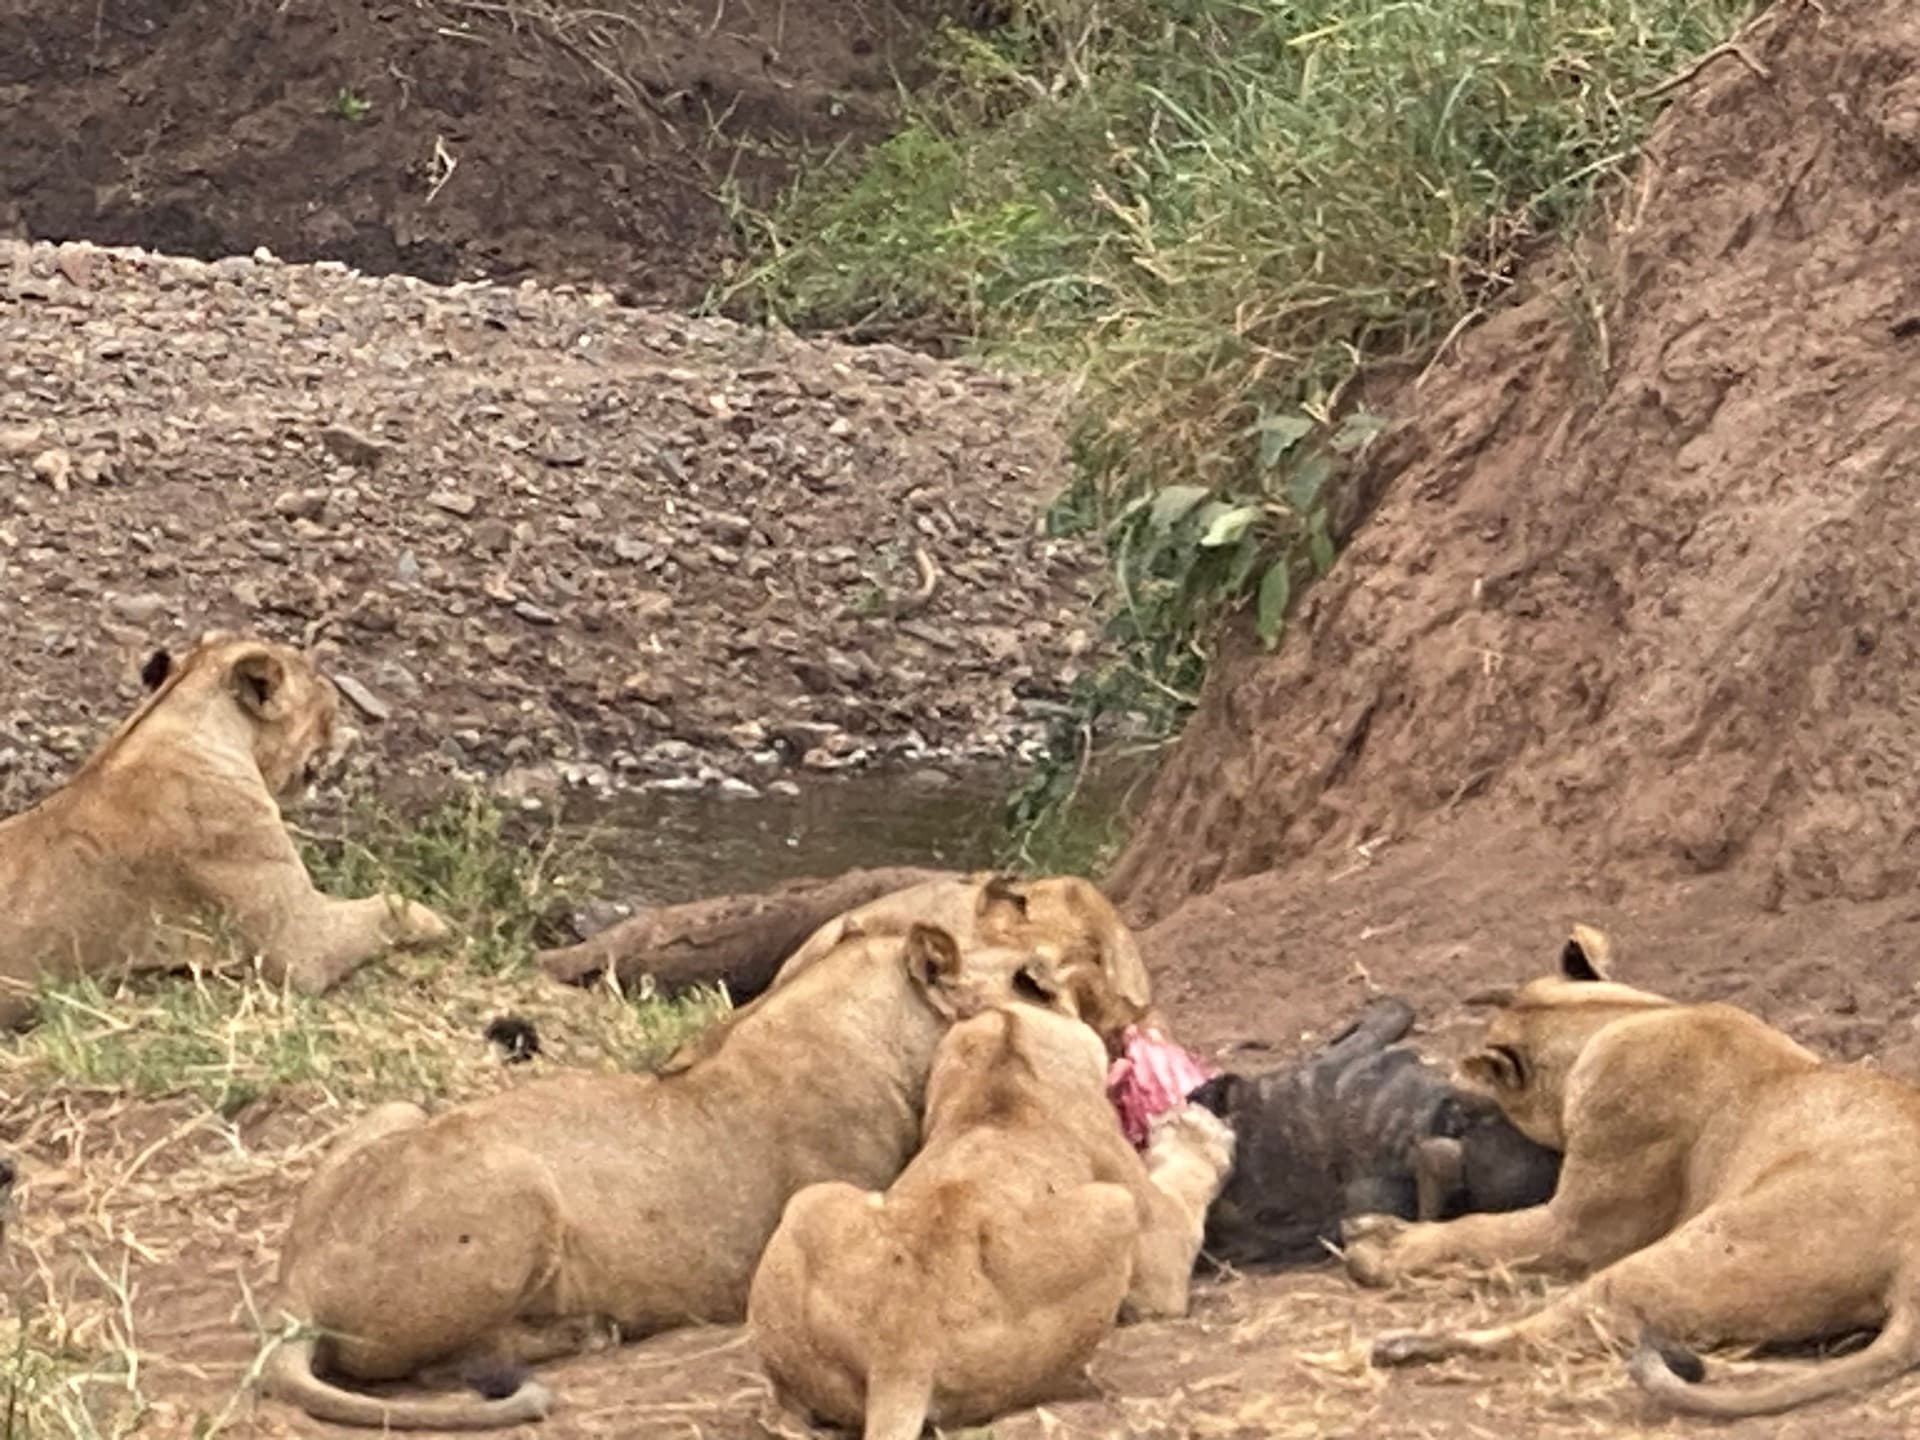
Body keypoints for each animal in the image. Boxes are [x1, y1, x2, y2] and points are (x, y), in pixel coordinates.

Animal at [264, 919, 1155, 1430]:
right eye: (1032, 975)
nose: (1121, 1020)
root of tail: (293, 1292)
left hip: (401, 1112)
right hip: (517, 1184)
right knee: (436, 1363)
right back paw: (585, 1331)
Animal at [747, 1001, 1234, 1440]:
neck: (1002, 1078)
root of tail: (902, 1350)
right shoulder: (1157, 1252)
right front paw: (1197, 1130)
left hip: (809, 1202)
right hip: (1114, 1208)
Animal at [1340, 924, 1920, 1418]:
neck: (1620, 1016)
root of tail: (1911, 1263)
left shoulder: (1577, 1228)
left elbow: (1476, 1231)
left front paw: (1396, 1244)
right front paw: (1381, 1227)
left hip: (1679, 1258)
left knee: (1541, 1330)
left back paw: (1402, 1332)